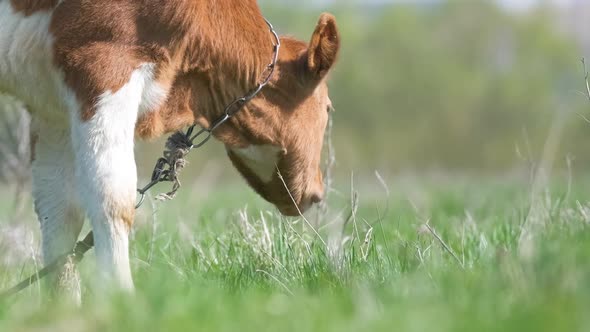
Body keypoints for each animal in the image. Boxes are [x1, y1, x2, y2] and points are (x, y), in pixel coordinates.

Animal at [0, 0, 342, 300]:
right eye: (328, 106)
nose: (317, 191)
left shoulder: (52, 108)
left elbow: (60, 211)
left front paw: (63, 307)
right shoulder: (103, 62)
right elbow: (112, 195)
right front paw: (119, 299)